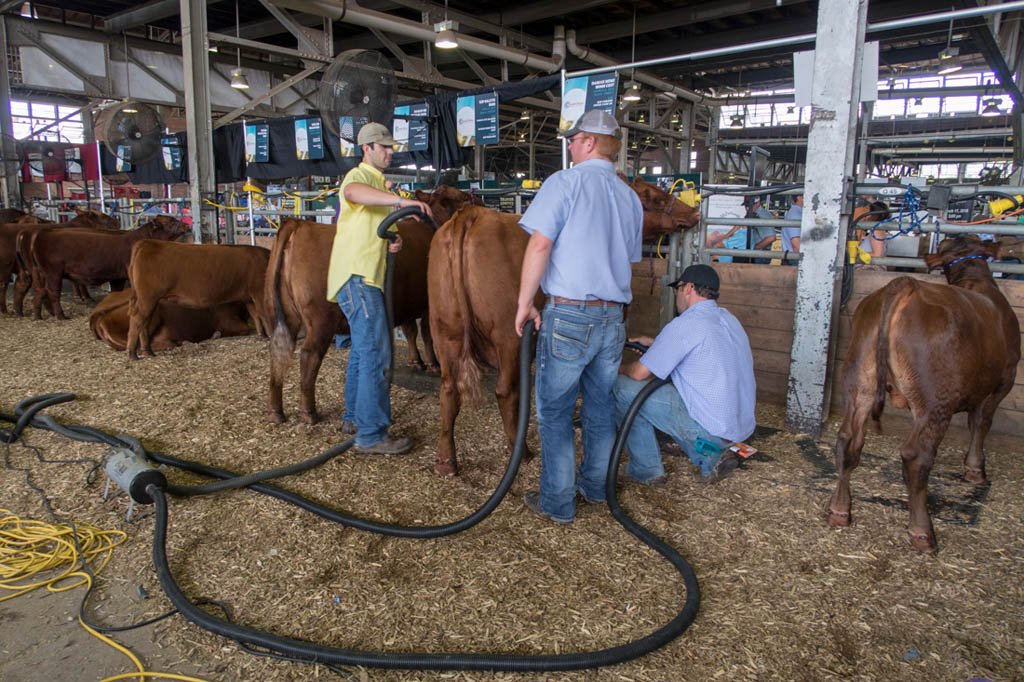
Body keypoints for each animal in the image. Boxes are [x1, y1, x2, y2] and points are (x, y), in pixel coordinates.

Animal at [125, 240, 270, 358]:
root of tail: (147, 243)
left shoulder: (249, 297)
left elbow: (257, 315)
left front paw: (263, 336)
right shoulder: (259, 292)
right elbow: (264, 315)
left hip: (149, 300)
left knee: (144, 321)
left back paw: (148, 351)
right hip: (148, 297)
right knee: (138, 318)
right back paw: (132, 353)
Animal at [266, 183, 477, 421]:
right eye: (461, 197)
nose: (475, 198)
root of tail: (298, 224)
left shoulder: (405, 300)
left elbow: (410, 331)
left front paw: (416, 361)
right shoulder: (426, 304)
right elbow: (426, 334)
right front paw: (433, 363)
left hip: (282, 315)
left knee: (277, 353)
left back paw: (275, 411)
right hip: (320, 321)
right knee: (308, 355)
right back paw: (309, 411)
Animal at [827, 235, 1019, 552]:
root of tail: (905, 284)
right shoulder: (1004, 380)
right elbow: (981, 423)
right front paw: (975, 469)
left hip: (860, 380)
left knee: (848, 441)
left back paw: (840, 510)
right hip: (934, 399)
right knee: (916, 455)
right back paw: (922, 532)